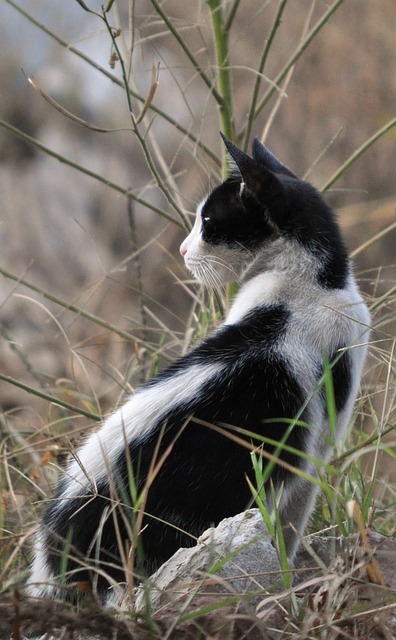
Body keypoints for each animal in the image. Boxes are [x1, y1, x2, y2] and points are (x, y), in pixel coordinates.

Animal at [28, 132, 372, 604]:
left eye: (207, 221)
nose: (182, 249)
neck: (314, 287)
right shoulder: (313, 453)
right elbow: (291, 525)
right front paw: (289, 577)